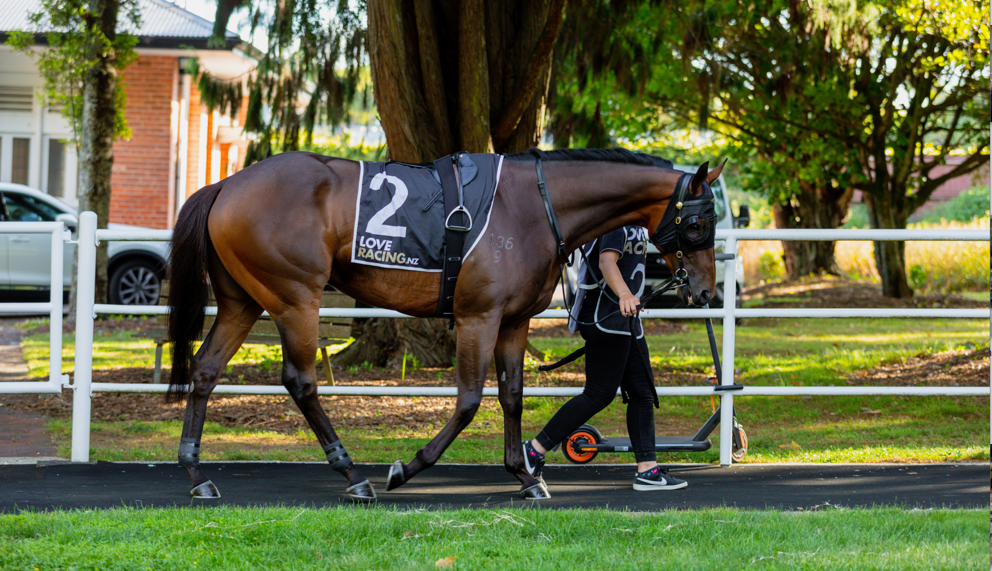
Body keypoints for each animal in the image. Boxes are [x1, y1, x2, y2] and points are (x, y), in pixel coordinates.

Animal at [167, 147, 716, 500]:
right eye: (696, 223)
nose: (707, 290)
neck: (533, 206)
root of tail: (227, 184)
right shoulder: (478, 318)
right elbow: (470, 401)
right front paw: (408, 468)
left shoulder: (513, 321)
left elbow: (512, 397)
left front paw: (525, 476)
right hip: (295, 298)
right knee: (301, 382)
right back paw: (353, 475)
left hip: (242, 302)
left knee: (205, 370)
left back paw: (196, 475)